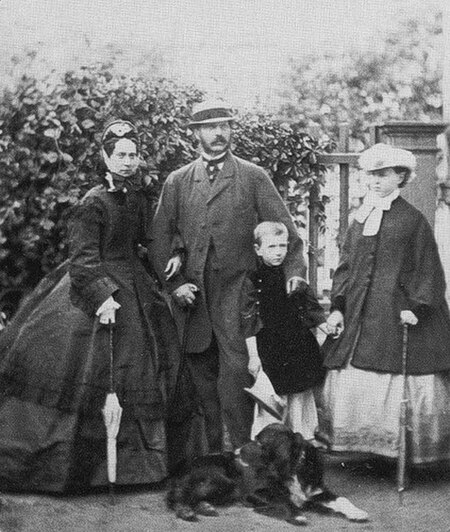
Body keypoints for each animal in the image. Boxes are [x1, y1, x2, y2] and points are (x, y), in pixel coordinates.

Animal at [167, 422, 368, 524]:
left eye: (260, 443)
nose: (236, 452)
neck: (293, 469)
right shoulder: (254, 493)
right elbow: (282, 499)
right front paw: (296, 515)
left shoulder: (317, 491)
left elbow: (342, 499)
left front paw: (357, 512)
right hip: (222, 479)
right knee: (177, 495)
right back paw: (186, 510)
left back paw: (205, 507)